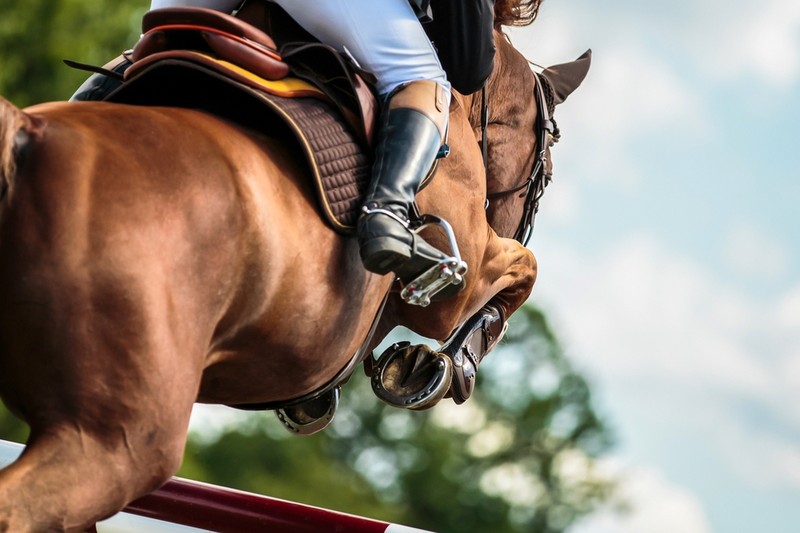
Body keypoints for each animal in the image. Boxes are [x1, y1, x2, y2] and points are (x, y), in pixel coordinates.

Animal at [0, 12, 589, 531]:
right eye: (546, 170)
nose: (519, 219)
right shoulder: (457, 282)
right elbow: (523, 270)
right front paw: (440, 366)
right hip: (112, 442)